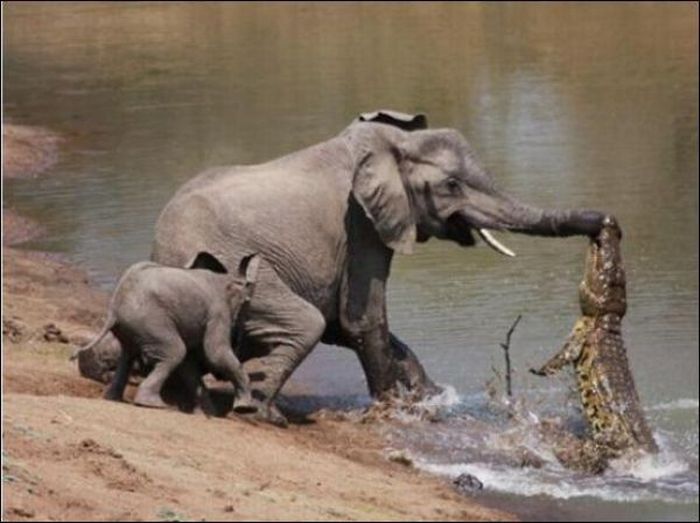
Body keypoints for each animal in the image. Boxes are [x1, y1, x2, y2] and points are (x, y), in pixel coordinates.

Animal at [71, 252, 260, 416]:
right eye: (246, 304)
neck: (228, 278)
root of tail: (113, 309)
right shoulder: (218, 312)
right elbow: (215, 353)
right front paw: (245, 409)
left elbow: (189, 365)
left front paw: (207, 414)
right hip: (150, 320)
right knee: (174, 352)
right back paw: (153, 404)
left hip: (133, 325)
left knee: (128, 355)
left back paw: (113, 399)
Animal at [153, 110, 608, 426]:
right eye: (451, 186)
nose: (605, 223)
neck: (392, 143)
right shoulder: (361, 225)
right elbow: (361, 319)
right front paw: (393, 410)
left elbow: (347, 325)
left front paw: (430, 397)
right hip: (233, 269)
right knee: (305, 323)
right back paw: (263, 414)